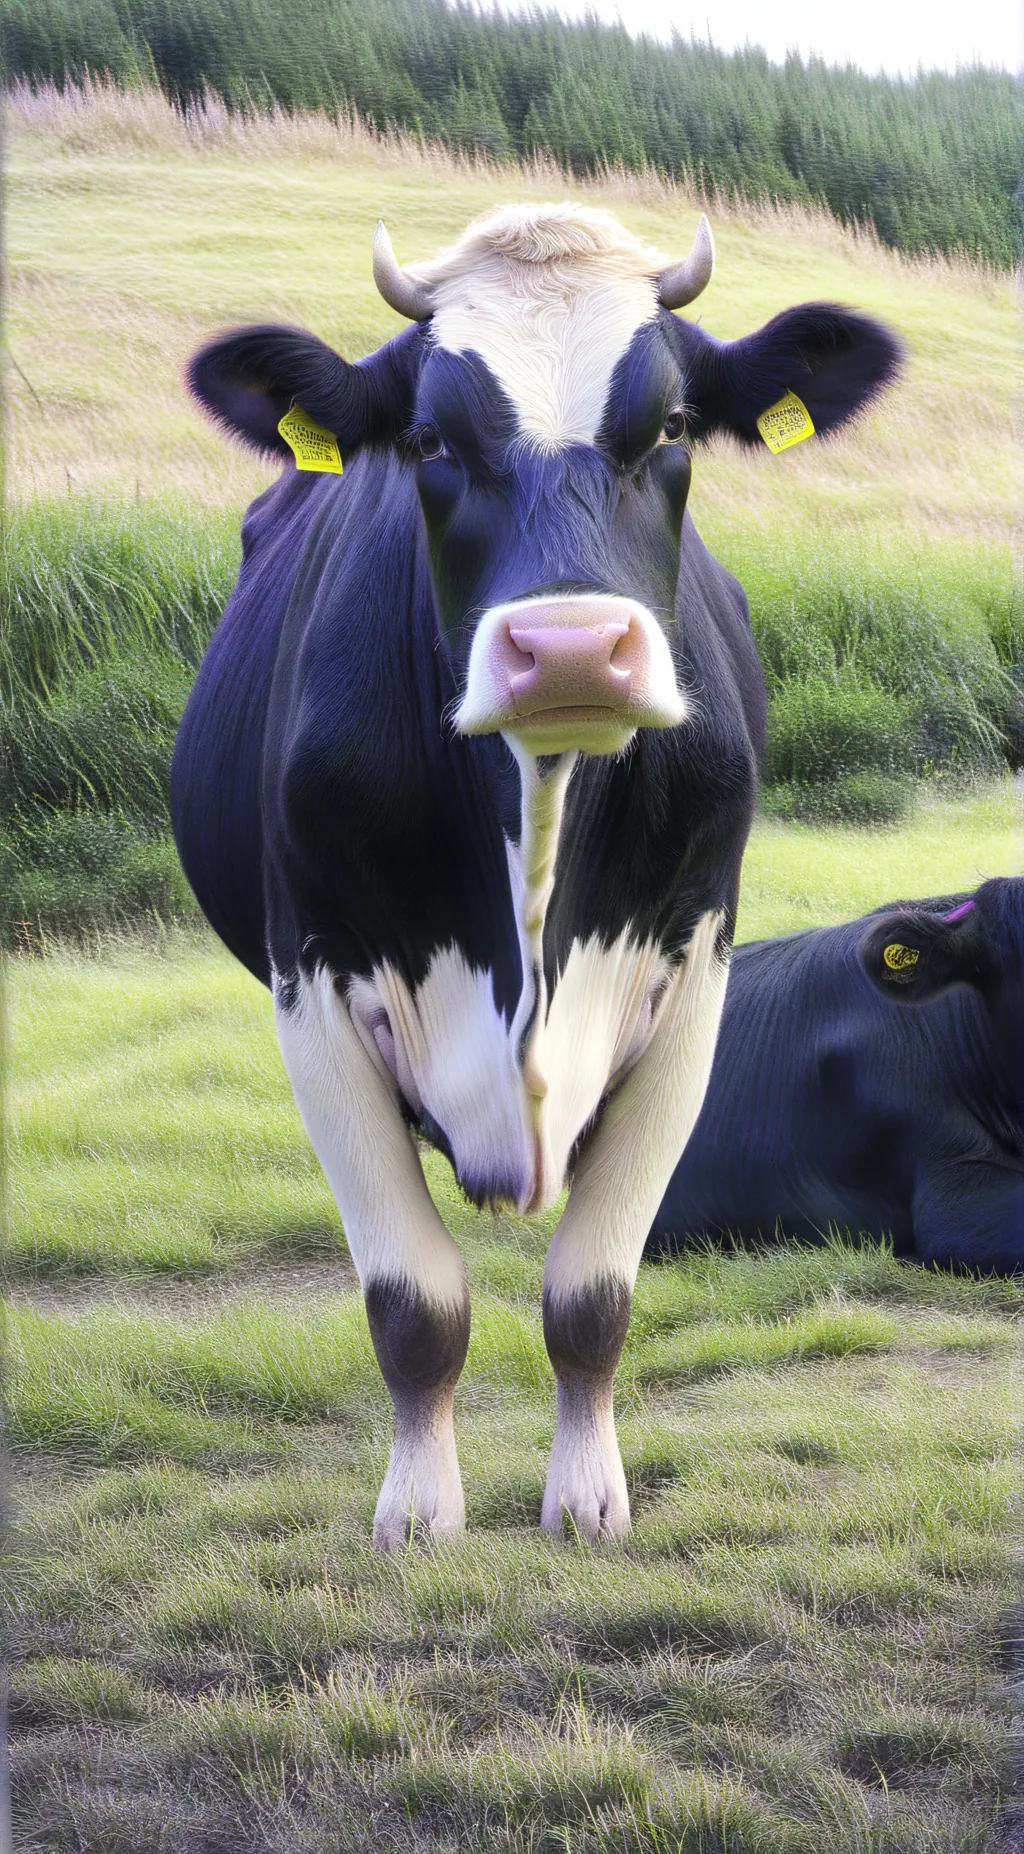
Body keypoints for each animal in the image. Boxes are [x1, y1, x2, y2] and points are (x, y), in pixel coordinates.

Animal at [172, 202, 901, 1546]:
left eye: (671, 426)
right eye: (425, 438)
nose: (568, 649)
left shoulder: (694, 975)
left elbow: (592, 1293)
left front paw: (587, 1499)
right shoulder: (311, 987)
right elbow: (413, 1302)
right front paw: (419, 1510)